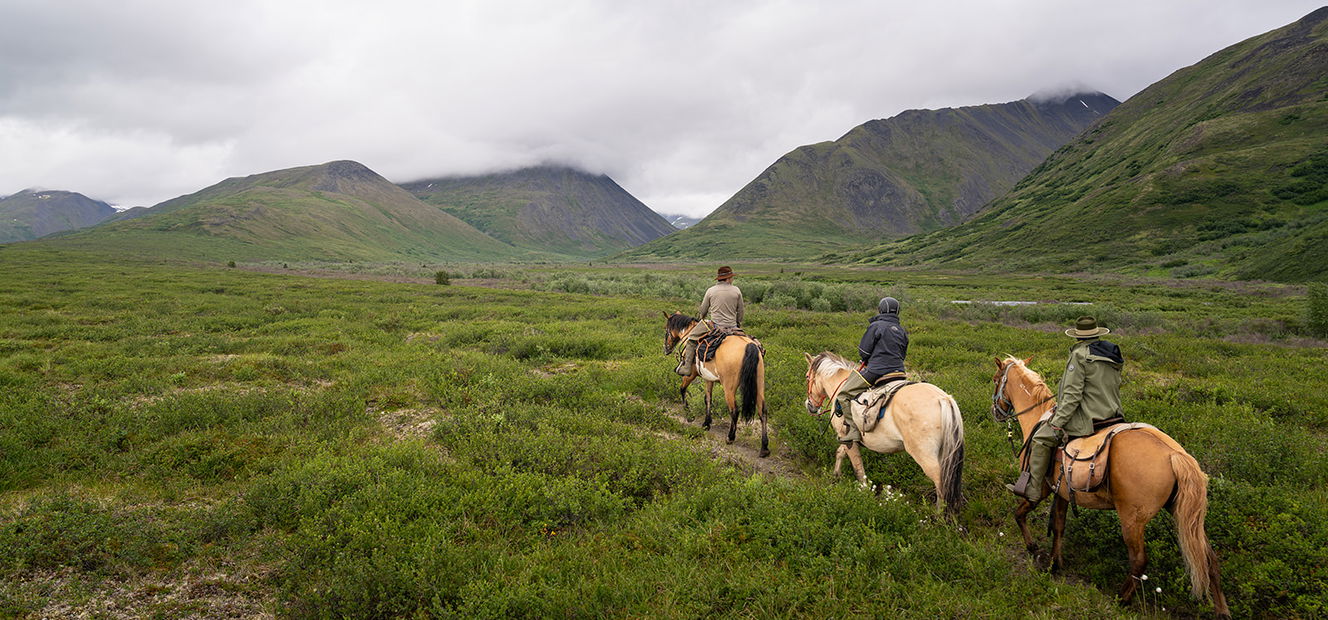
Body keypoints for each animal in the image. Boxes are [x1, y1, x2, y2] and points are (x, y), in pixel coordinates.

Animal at [662, 311, 769, 457]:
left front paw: (689, 415)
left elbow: (682, 389)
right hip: (759, 385)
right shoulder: (709, 379)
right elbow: (708, 399)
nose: (666, 349)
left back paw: (730, 437)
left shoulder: (691, 374)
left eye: (666, 330)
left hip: (729, 387)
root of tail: (750, 346)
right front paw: (707, 423)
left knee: (734, 410)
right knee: (762, 412)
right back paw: (764, 447)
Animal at [803, 351, 965, 517]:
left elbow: (858, 468)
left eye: (807, 377)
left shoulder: (846, 435)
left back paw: (938, 517)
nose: (810, 406)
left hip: (924, 455)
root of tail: (943, 399)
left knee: (940, 483)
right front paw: (835, 476)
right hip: (944, 453)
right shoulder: (846, 438)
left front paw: (863, 492)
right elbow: (840, 453)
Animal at [991, 356, 1229, 617]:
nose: (995, 412)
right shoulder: (1061, 493)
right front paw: (1055, 563)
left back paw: (1122, 599)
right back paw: (1222, 610)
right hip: (1186, 516)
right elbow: (1059, 526)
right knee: (1209, 559)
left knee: (1139, 561)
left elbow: (1020, 513)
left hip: (1131, 520)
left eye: (995, 380)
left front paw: (1033, 548)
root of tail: (1175, 455)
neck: (1037, 418)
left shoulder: (1040, 488)